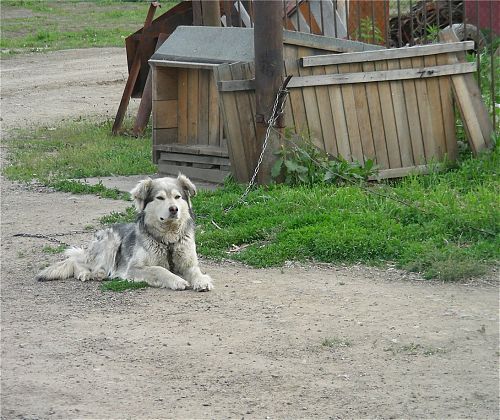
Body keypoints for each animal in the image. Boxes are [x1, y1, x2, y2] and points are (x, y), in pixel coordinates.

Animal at [34, 174, 215, 292]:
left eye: (178, 197)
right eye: (160, 198)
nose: (174, 209)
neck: (168, 240)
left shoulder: (188, 262)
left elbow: (195, 271)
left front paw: (201, 281)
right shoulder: (134, 268)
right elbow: (159, 269)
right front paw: (176, 280)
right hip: (111, 242)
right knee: (77, 262)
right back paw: (88, 273)